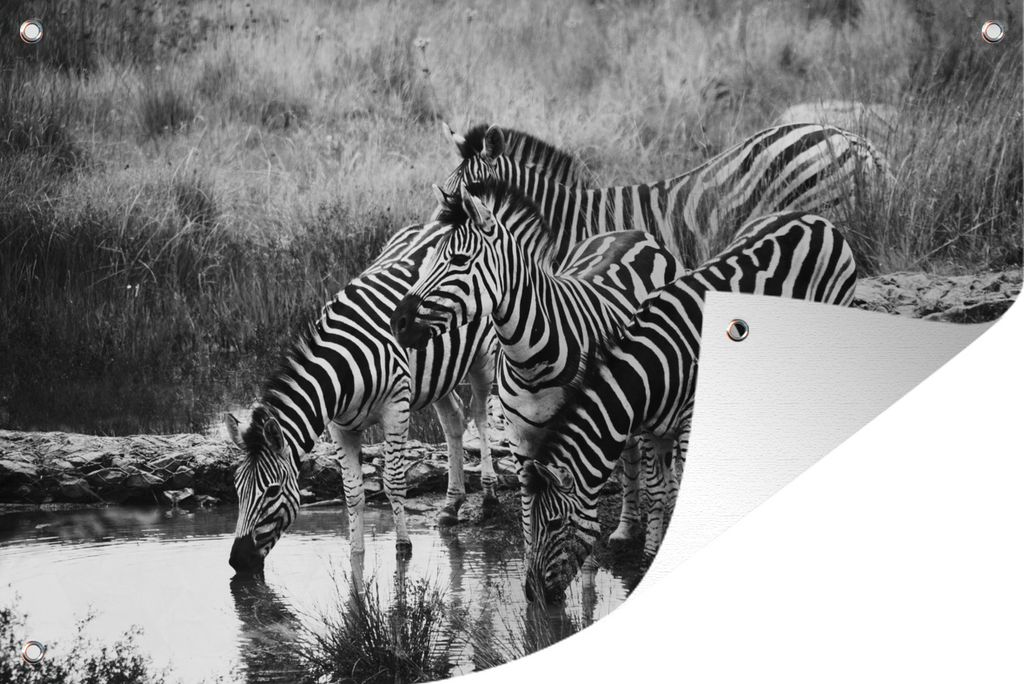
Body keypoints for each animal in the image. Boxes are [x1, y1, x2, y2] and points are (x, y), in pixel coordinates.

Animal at [390, 179, 683, 549]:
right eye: (427, 259)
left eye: (458, 260)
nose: (397, 322)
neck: (530, 360)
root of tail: (631, 231)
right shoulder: (521, 443)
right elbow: (531, 520)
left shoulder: (579, 433)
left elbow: (578, 520)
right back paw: (626, 528)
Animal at [519, 212, 859, 603]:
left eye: (555, 523)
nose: (531, 595)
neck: (651, 372)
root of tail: (816, 217)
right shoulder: (653, 429)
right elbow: (656, 492)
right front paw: (650, 555)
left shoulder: (687, 424)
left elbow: (682, 489)